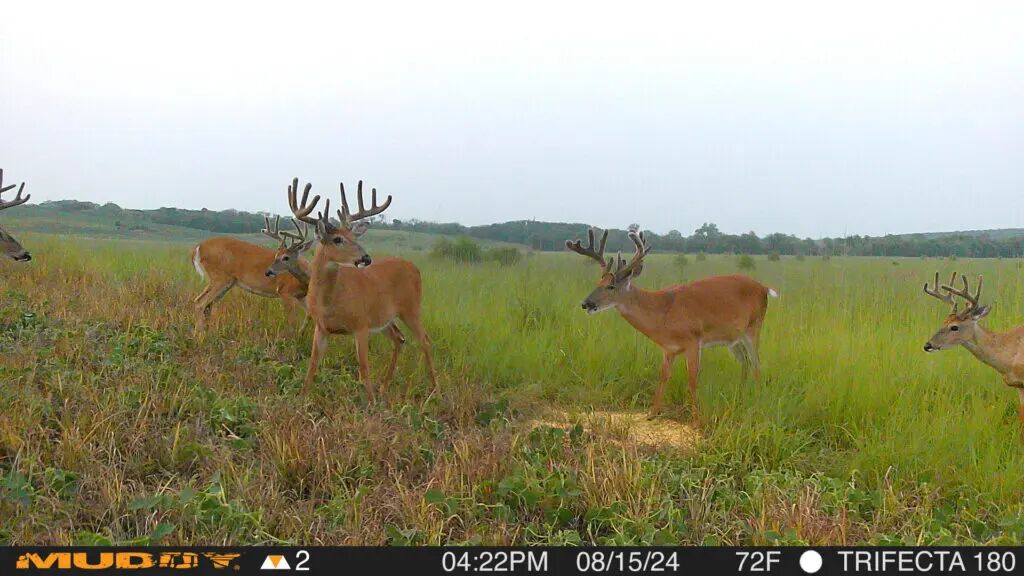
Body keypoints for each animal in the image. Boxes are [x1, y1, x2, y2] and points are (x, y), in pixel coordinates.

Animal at [286, 177, 437, 399]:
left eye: (355, 238)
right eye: (337, 239)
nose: (366, 258)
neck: (329, 302)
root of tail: (414, 267)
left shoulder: (361, 325)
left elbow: (364, 368)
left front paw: (370, 402)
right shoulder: (321, 327)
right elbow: (312, 364)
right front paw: (303, 397)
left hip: (411, 309)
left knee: (425, 341)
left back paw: (435, 390)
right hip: (385, 318)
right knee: (399, 339)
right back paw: (384, 387)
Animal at [566, 228, 777, 421]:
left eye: (611, 286)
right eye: (598, 282)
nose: (586, 303)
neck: (662, 313)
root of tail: (764, 287)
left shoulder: (693, 340)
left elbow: (692, 380)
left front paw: (697, 417)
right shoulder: (668, 349)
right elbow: (663, 376)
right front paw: (652, 412)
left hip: (754, 327)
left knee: (757, 365)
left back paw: (757, 402)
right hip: (733, 338)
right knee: (746, 363)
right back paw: (740, 398)